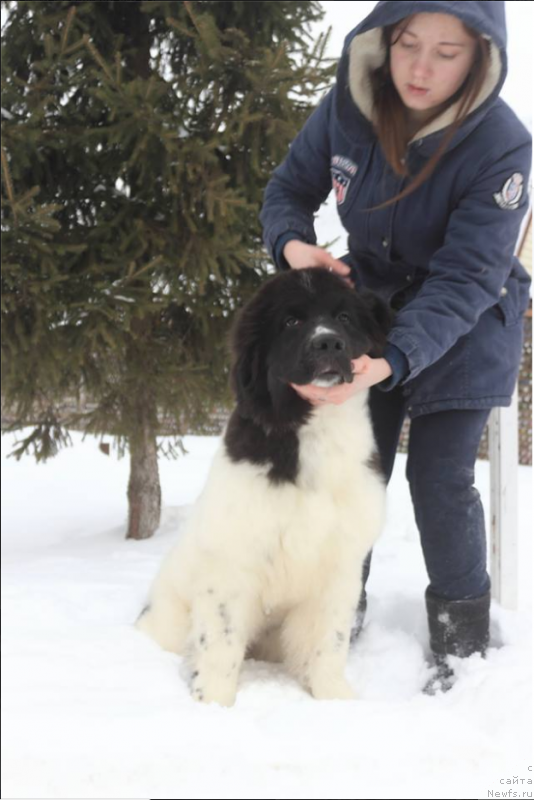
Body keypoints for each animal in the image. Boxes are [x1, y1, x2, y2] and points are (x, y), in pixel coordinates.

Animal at [136, 268, 392, 708]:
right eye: (291, 322)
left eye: (344, 317)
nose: (328, 342)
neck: (315, 433)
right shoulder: (231, 562)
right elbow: (220, 641)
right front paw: (214, 702)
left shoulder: (341, 565)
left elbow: (330, 639)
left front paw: (334, 699)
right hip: (169, 618)